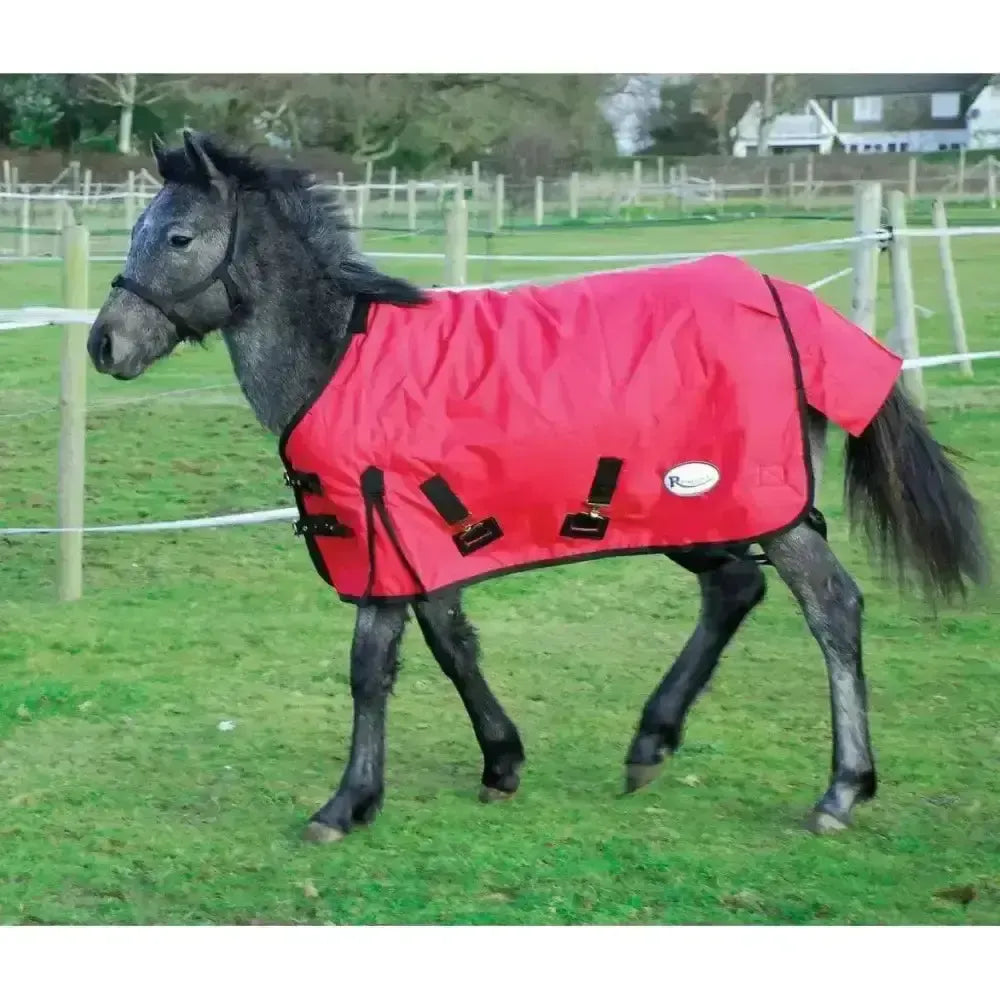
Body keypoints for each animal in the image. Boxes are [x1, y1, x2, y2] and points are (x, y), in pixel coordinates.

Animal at [86, 131, 990, 843]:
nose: (105, 344)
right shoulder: (420, 545)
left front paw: (346, 804)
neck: (341, 354)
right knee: (735, 589)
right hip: (689, 510)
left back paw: (840, 789)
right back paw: (651, 744)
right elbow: (452, 645)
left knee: (831, 607)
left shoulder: (380, 537)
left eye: (178, 236)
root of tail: (790, 300)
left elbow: (371, 667)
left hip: (761, 509)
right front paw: (501, 762)